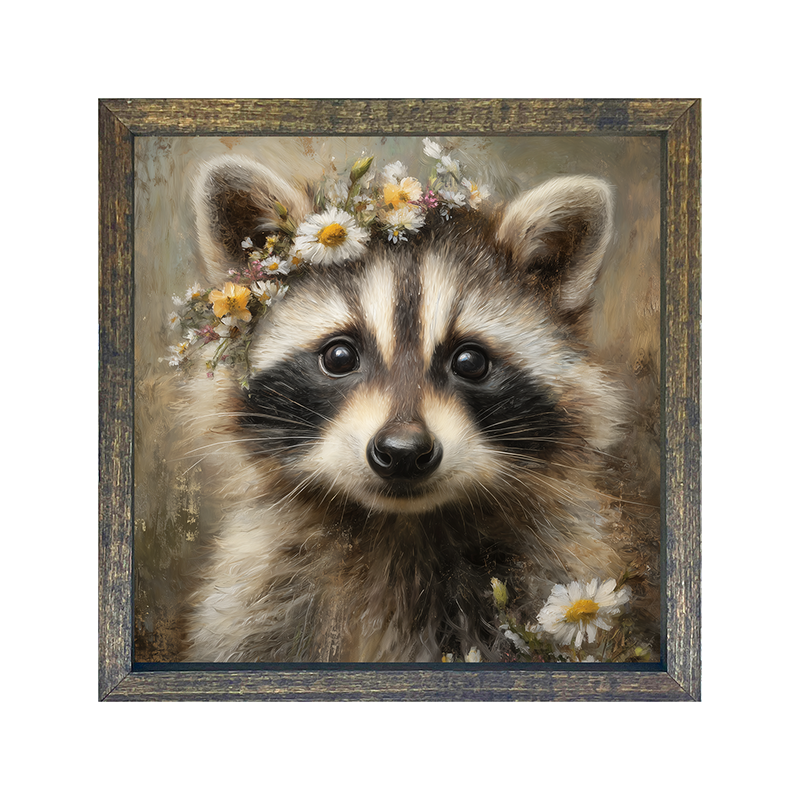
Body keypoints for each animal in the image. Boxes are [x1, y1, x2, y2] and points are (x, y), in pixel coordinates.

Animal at [182, 154, 628, 663]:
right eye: (340, 356)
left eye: (469, 361)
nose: (402, 452)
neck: (400, 527)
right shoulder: (262, 597)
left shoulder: (543, 569)